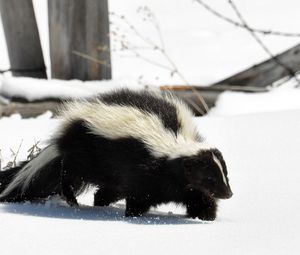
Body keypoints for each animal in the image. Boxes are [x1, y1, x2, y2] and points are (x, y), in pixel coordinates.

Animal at [0, 88, 232, 220]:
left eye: (225, 175)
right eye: (209, 178)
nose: (228, 193)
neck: (174, 146)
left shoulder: (184, 183)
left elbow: (198, 196)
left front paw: (205, 216)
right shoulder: (144, 170)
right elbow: (140, 196)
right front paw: (133, 215)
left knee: (105, 190)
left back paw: (99, 203)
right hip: (86, 155)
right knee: (68, 174)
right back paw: (73, 200)